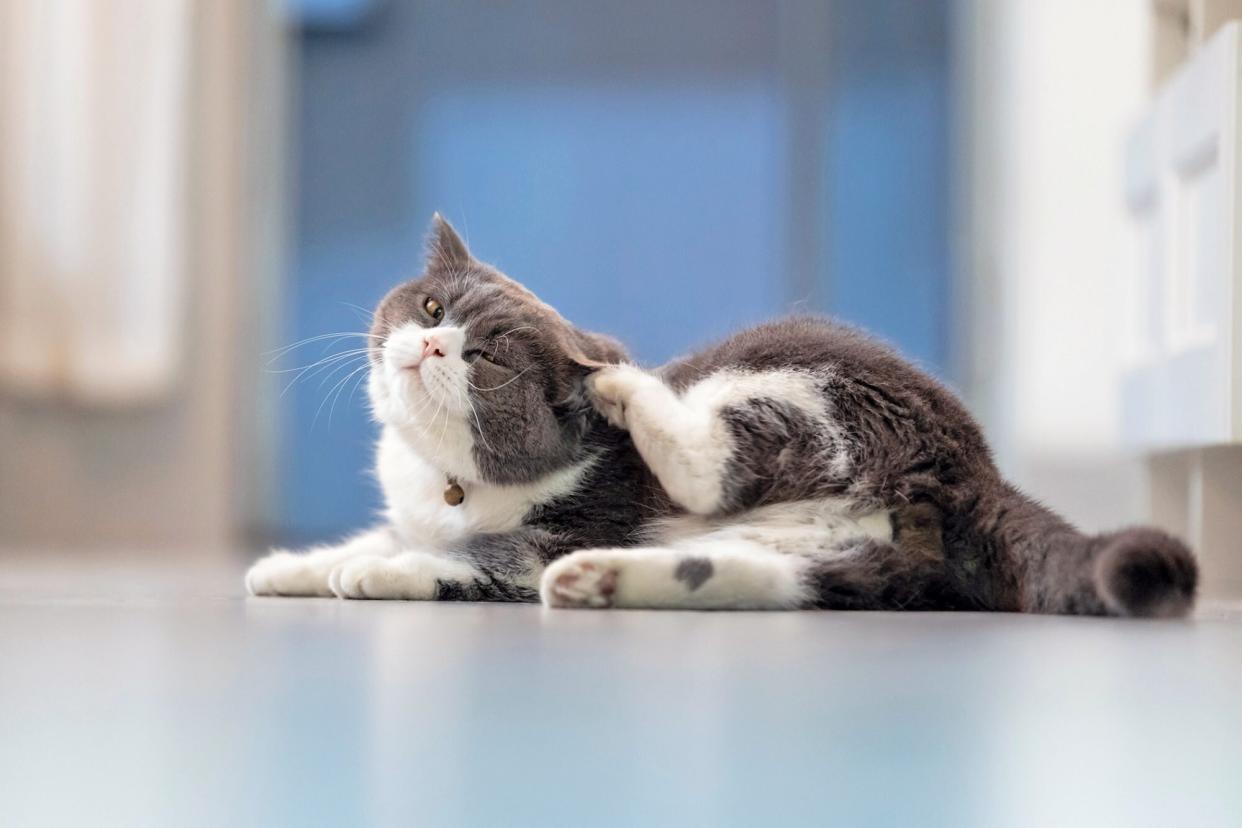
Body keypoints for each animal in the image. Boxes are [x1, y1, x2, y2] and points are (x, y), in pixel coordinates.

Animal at [247, 213, 1197, 615]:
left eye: (489, 359)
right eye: (434, 308)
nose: (435, 346)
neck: (444, 482)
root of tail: (978, 466)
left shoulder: (557, 527)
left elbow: (469, 557)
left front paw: (370, 574)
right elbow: (381, 536)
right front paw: (289, 567)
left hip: (797, 385)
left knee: (716, 465)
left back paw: (626, 394)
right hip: (856, 555)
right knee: (776, 580)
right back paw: (599, 583)